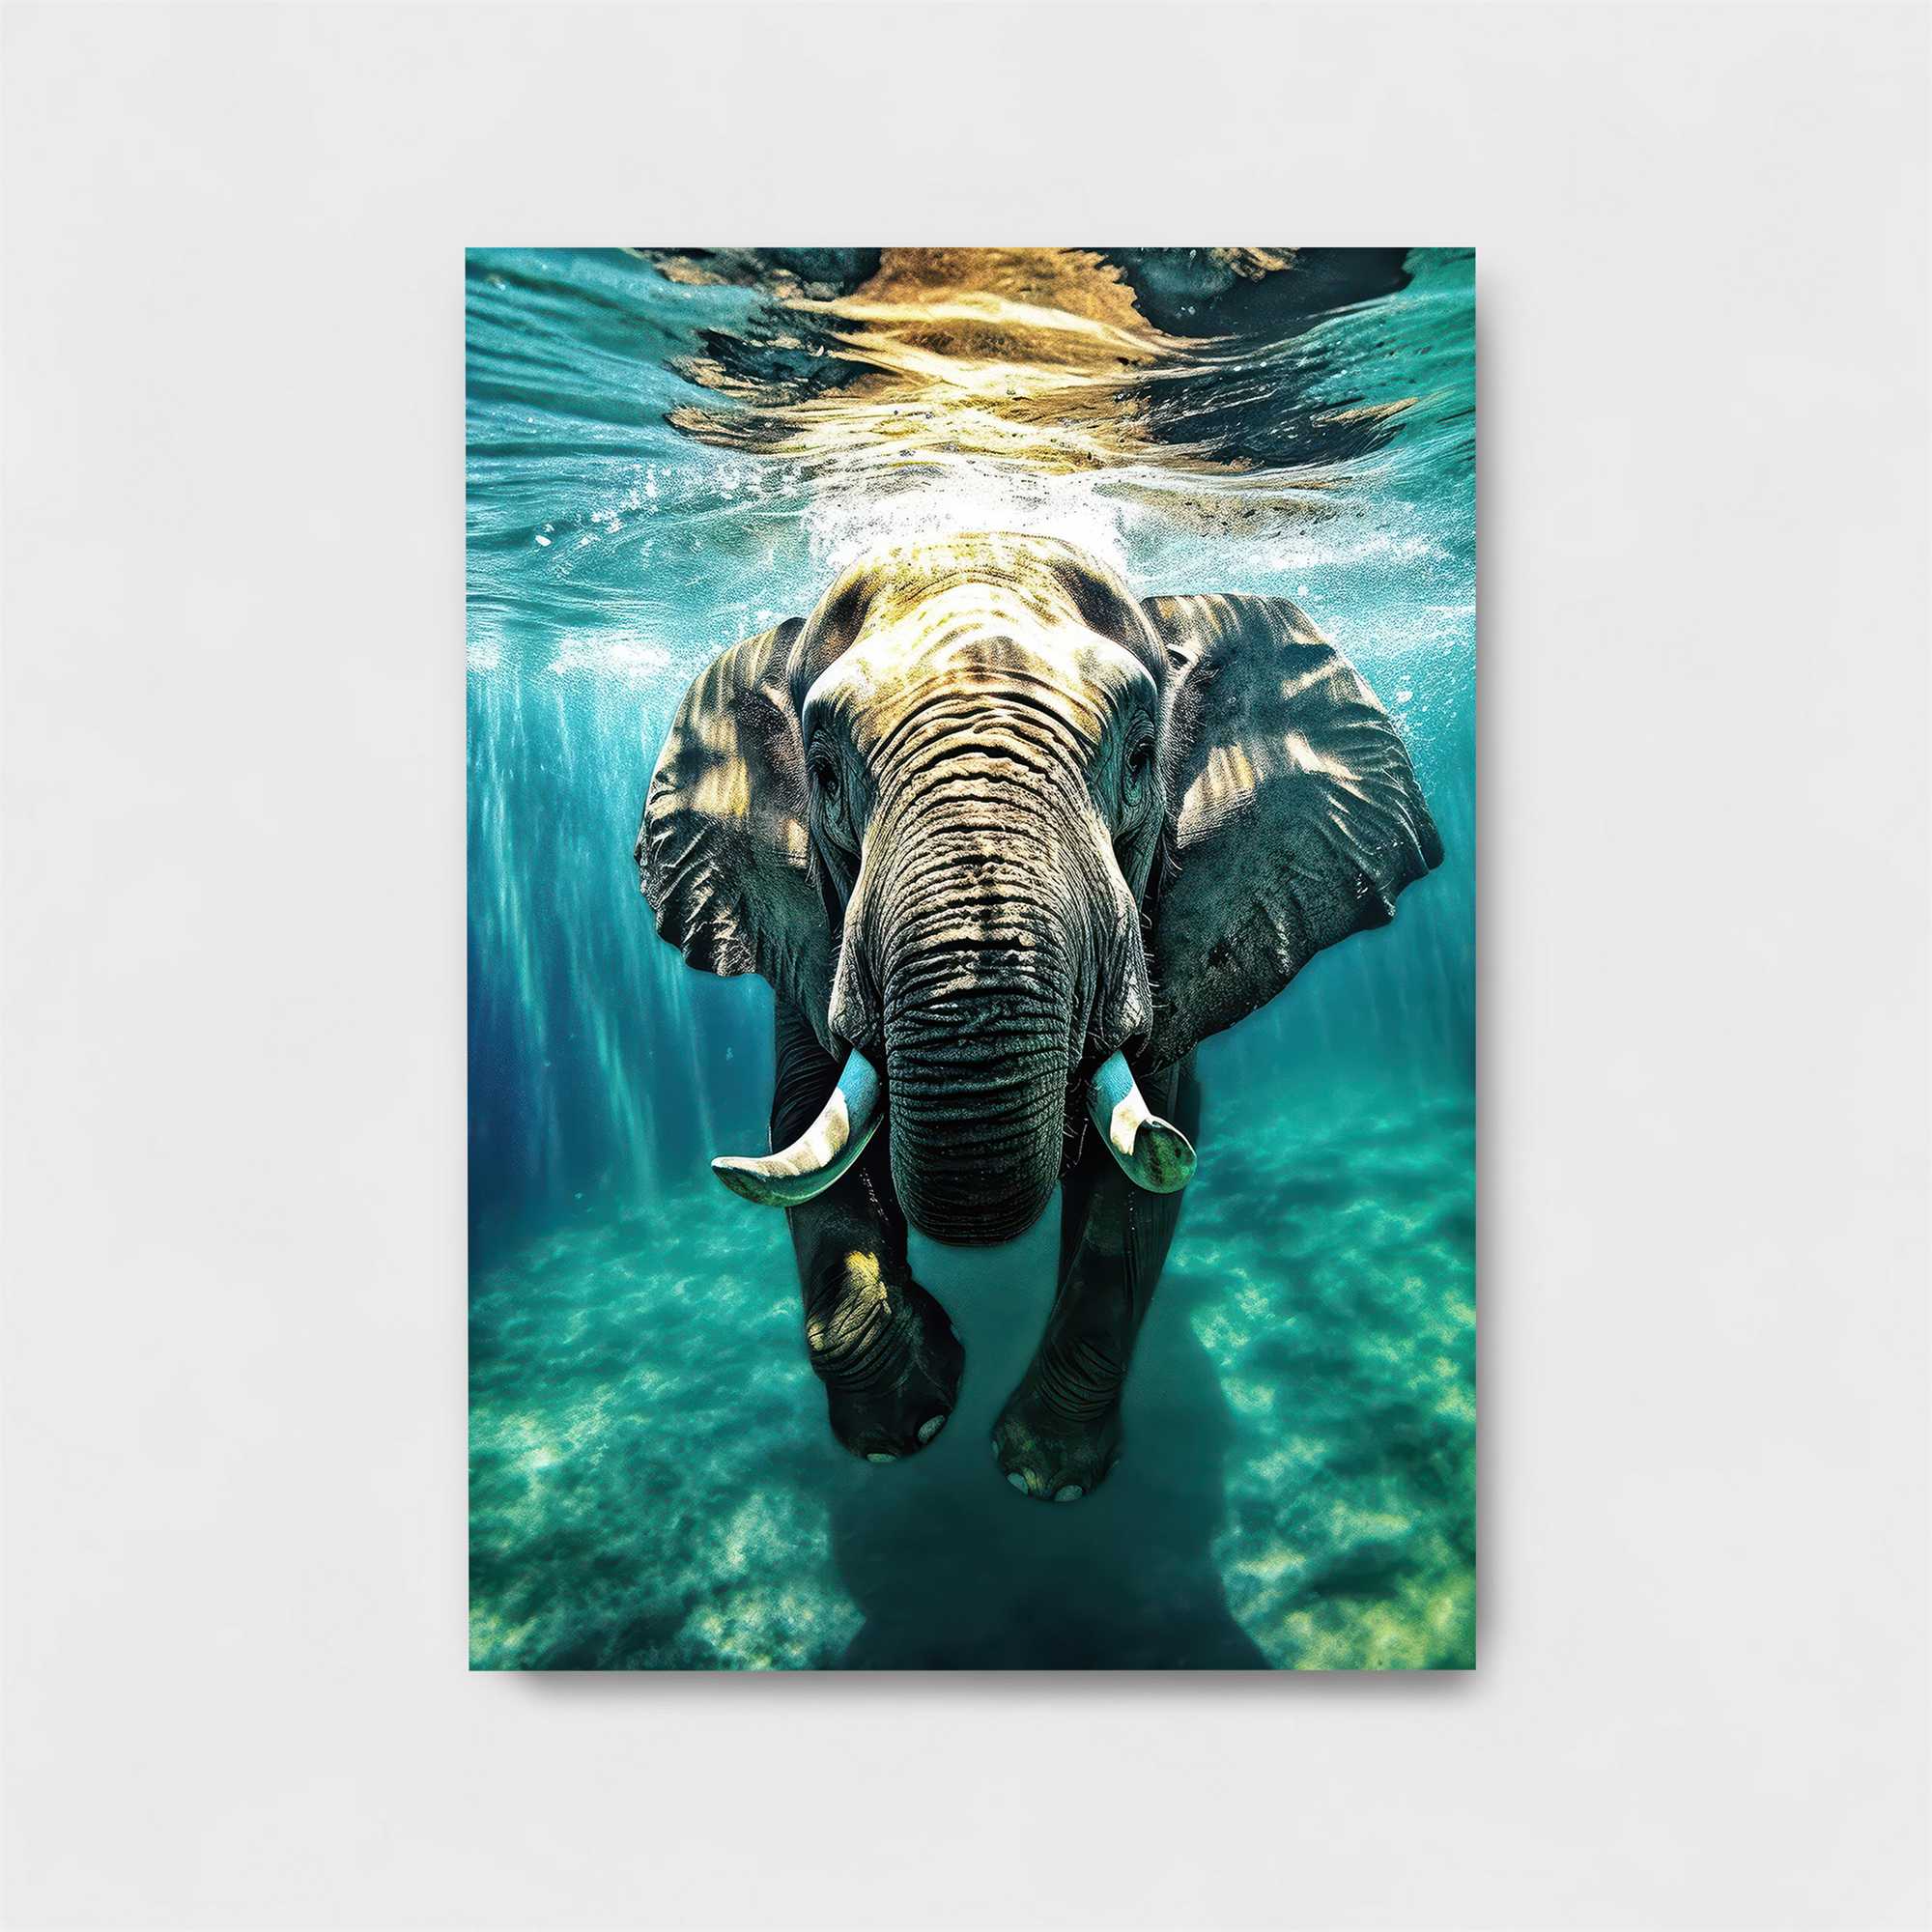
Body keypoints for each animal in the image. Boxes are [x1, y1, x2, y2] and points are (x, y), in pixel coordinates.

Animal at [636, 531, 1441, 1503]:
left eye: (1141, 757)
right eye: (823, 775)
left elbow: (1136, 1175)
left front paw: (1041, 1477)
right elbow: (805, 1125)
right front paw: (903, 1430)